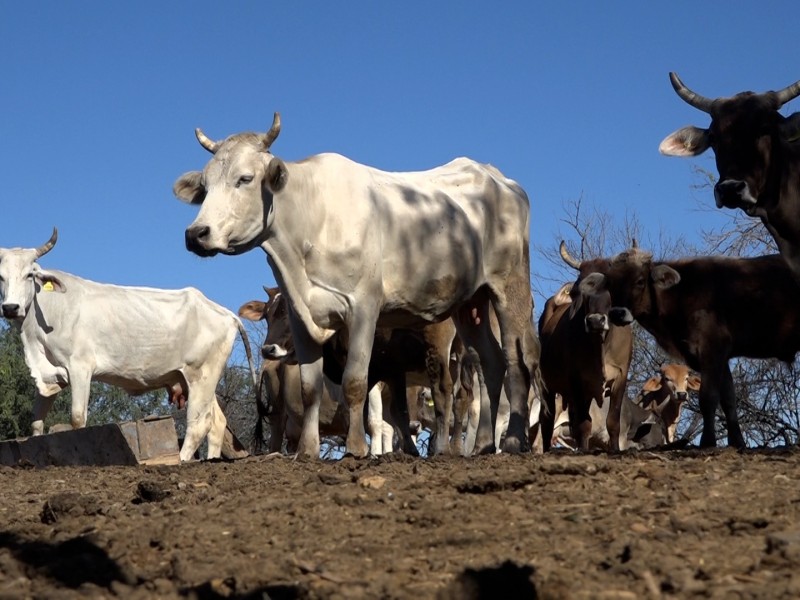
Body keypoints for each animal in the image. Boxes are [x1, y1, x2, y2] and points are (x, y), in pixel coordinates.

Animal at [0, 229, 256, 460]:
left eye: (29, 275)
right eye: (1, 276)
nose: (10, 307)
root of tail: (225, 313)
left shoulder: (80, 367)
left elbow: (77, 419)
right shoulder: (49, 375)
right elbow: (36, 424)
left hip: (200, 375)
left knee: (198, 424)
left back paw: (180, 460)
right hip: (200, 380)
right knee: (217, 424)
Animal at [174, 115, 536, 458]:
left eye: (245, 178)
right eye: (204, 186)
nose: (196, 233)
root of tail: (497, 177)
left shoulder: (363, 308)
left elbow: (355, 382)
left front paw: (356, 448)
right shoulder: (300, 315)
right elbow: (309, 387)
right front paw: (307, 450)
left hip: (510, 284)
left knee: (516, 358)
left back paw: (512, 440)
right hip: (471, 302)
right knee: (490, 362)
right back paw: (483, 445)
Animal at [580, 246, 800, 448]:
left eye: (640, 281)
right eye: (610, 284)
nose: (617, 313)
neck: (682, 294)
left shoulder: (712, 348)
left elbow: (708, 398)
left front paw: (708, 442)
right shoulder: (720, 357)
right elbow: (729, 399)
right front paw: (737, 442)